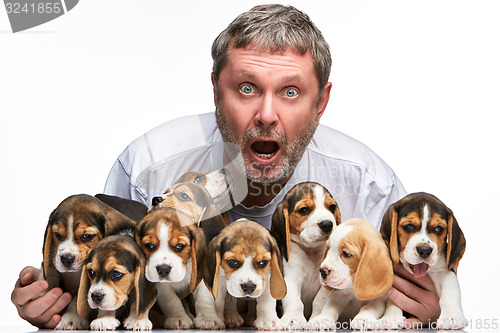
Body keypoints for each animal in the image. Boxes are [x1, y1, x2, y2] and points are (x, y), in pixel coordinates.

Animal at [40, 193, 137, 328]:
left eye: (87, 236)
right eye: (58, 235)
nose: (66, 259)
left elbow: (79, 298)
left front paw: (71, 318)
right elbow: (48, 274)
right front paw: (43, 294)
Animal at [272, 182, 342, 326]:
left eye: (332, 207)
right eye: (304, 210)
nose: (327, 224)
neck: (312, 251)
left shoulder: (326, 281)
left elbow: (319, 301)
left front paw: (318, 318)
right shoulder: (291, 279)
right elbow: (295, 301)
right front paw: (294, 318)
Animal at [380, 191, 466, 328]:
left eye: (438, 229)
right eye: (409, 226)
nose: (424, 250)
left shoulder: (444, 270)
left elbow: (450, 290)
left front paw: (452, 317)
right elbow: (393, 300)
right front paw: (390, 317)